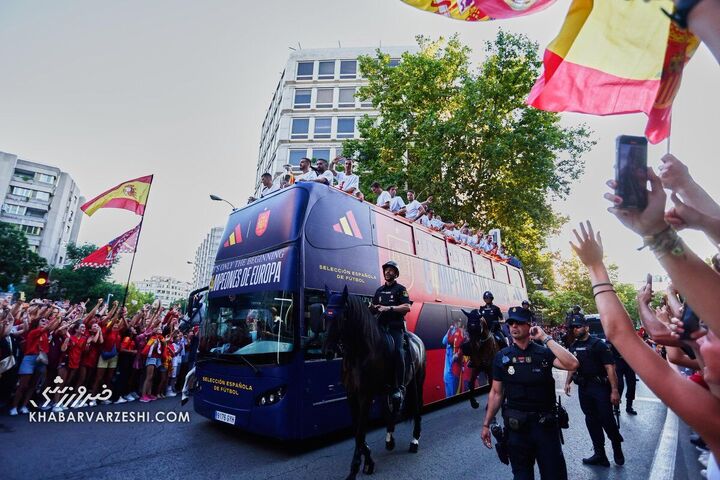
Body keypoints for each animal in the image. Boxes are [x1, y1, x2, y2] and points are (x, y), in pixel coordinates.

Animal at [324, 286, 424, 478]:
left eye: (341, 317)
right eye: (325, 316)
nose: (328, 351)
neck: (359, 354)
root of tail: (417, 340)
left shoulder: (365, 395)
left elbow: (361, 430)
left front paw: (356, 468)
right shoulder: (351, 395)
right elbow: (356, 429)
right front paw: (368, 460)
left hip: (417, 382)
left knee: (416, 408)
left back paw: (415, 441)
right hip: (390, 390)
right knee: (393, 408)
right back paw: (390, 439)